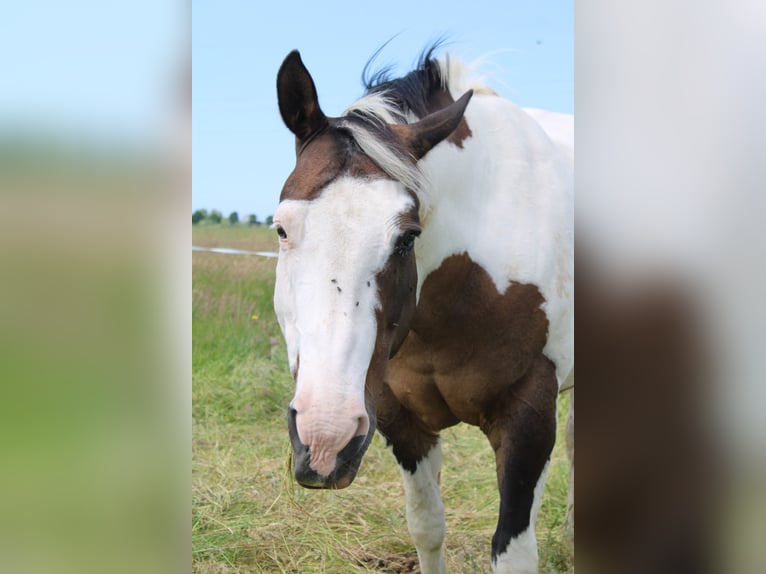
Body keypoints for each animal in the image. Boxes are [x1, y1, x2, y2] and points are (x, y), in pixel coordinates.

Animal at [272, 46, 572, 574]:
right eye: (282, 229)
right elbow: (427, 527)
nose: (325, 437)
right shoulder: (400, 418)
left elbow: (513, 550)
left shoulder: (530, 416)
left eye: (407, 237)